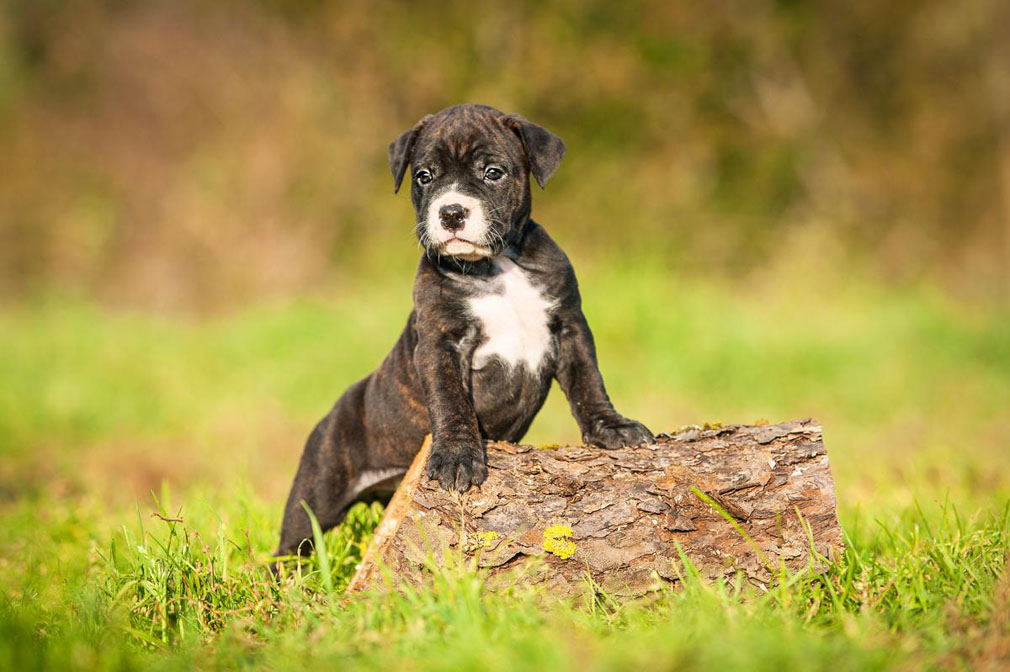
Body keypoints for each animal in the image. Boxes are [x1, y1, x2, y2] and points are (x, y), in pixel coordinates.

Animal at [276, 103, 654, 553]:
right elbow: (450, 400)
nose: (451, 211)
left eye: (492, 172)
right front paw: (458, 457)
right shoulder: (441, 344)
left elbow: (588, 382)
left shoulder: (570, 327)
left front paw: (613, 428)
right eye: (424, 176)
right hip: (315, 495)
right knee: (293, 542)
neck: (498, 265)